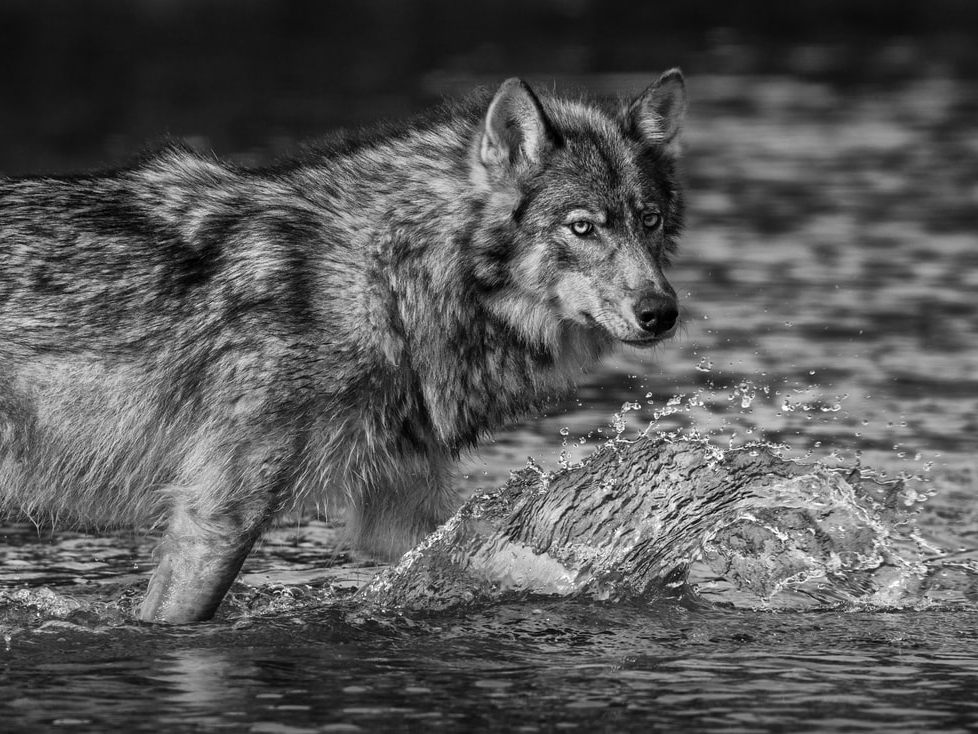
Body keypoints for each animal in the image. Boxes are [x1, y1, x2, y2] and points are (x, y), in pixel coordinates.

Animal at [0, 70, 687, 623]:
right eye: (583, 227)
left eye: (648, 220)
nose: (662, 313)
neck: (385, 282)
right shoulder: (218, 515)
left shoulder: (397, 509)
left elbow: (520, 558)